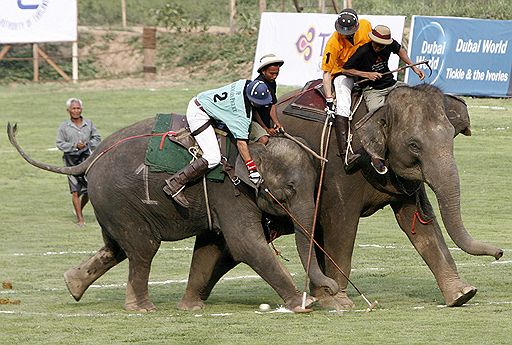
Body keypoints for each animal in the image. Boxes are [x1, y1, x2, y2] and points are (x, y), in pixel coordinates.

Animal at [7, 117, 340, 310]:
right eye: (289, 190)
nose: (332, 287)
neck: (255, 143)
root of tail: (90, 158)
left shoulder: (217, 200)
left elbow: (210, 246)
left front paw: (191, 308)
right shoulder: (228, 190)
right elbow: (245, 244)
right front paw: (301, 305)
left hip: (110, 203)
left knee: (116, 248)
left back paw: (72, 284)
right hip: (121, 200)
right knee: (143, 248)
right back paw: (141, 308)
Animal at [177, 82, 504, 310]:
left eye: (452, 137)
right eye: (414, 145)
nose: (501, 253)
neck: (377, 103)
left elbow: (419, 225)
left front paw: (462, 294)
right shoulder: (340, 169)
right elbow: (341, 228)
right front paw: (341, 301)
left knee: (225, 248)